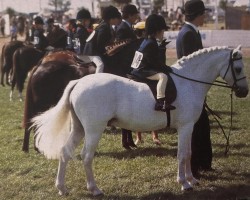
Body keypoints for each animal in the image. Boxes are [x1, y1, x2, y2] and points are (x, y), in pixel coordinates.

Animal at [32, 45, 248, 195]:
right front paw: (184, 184)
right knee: (86, 156)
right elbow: (182, 155)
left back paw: (62, 188)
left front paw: (192, 180)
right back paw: (94, 189)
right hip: (94, 130)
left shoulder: (188, 128)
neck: (188, 83)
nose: (244, 92)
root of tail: (78, 82)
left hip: (79, 128)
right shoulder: (185, 127)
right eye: (238, 68)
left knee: (65, 152)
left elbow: (188, 152)